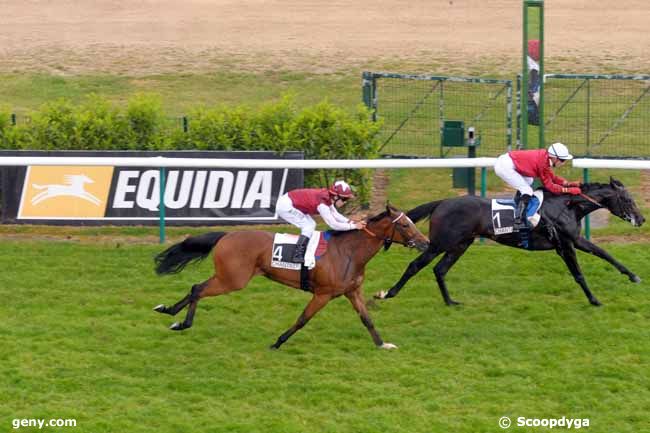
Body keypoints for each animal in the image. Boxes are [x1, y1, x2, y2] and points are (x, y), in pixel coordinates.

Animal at [152, 204, 430, 350]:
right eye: (404, 224)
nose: (426, 243)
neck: (349, 252)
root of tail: (227, 235)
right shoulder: (323, 294)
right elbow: (302, 319)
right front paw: (277, 342)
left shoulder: (352, 291)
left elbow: (367, 319)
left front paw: (382, 344)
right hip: (233, 280)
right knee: (198, 289)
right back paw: (181, 322)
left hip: (228, 277)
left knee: (194, 288)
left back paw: (168, 311)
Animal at [374, 177, 644, 306]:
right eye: (628, 200)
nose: (641, 219)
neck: (567, 205)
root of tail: (442, 202)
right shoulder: (565, 244)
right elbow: (578, 274)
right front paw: (594, 300)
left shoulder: (575, 239)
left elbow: (605, 254)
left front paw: (633, 276)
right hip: (440, 243)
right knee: (415, 266)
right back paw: (388, 293)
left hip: (461, 244)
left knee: (440, 269)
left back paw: (450, 302)